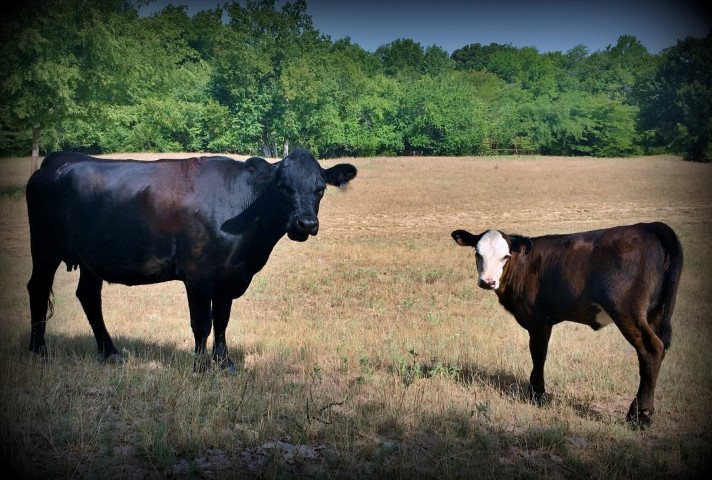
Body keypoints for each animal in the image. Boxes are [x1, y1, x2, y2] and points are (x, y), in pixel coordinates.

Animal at [26, 149, 356, 372]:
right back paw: (39, 351)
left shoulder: (229, 275)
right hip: (45, 248)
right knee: (38, 289)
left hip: (92, 257)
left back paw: (110, 352)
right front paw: (200, 367)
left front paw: (224, 363)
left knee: (89, 296)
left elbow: (222, 319)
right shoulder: (198, 273)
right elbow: (202, 321)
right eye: (284, 187)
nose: (306, 224)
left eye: (320, 189)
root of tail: (58, 159)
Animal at [454, 223, 680, 426]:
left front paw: (536, 394)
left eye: (505, 256)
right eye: (477, 253)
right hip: (654, 314)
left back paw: (640, 416)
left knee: (651, 350)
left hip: (627, 311)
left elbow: (538, 355)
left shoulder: (538, 320)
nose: (487, 282)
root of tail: (650, 226)